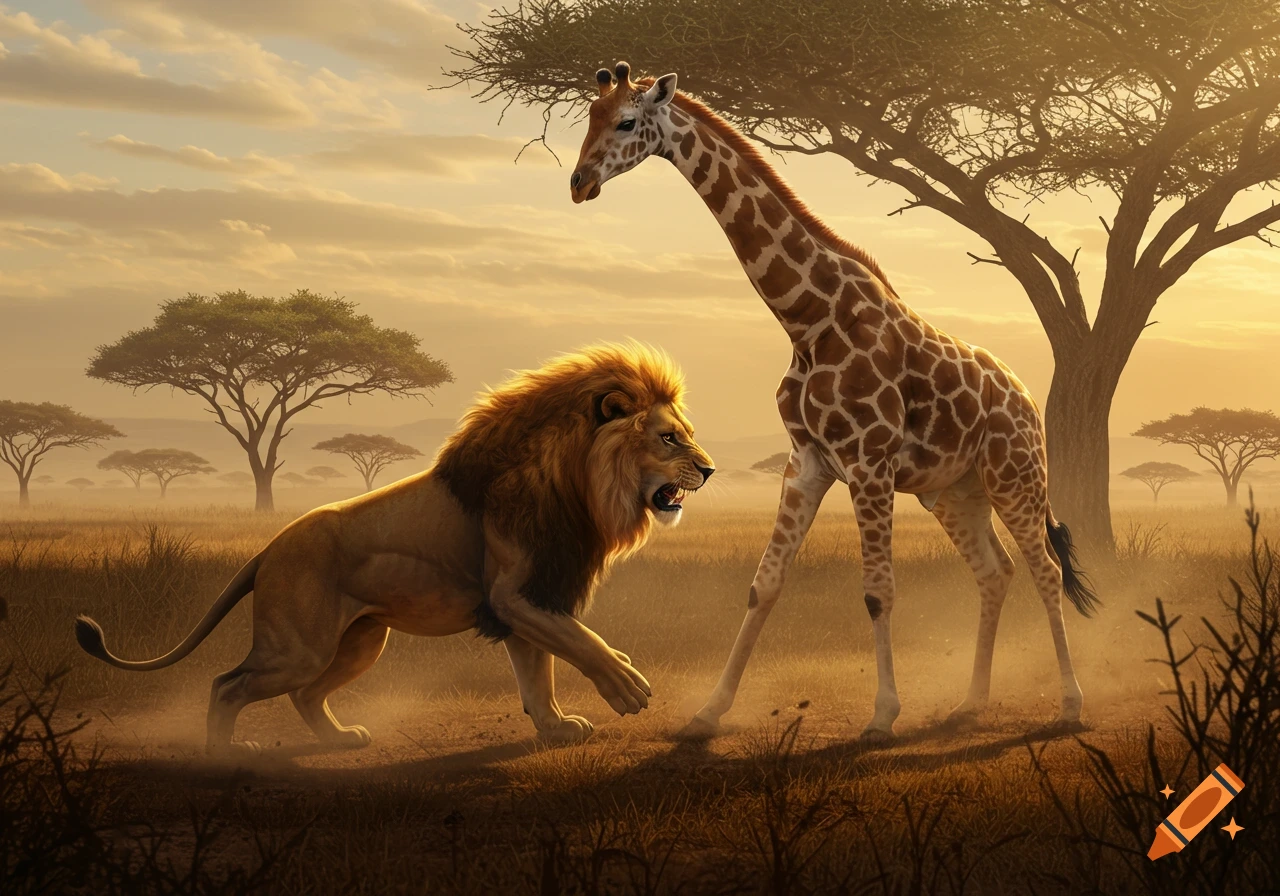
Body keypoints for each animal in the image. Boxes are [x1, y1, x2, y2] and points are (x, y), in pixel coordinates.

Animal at [74, 342, 715, 755]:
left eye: (686, 434)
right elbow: (579, 642)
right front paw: (626, 685)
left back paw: (339, 740)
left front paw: (555, 728)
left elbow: (540, 673)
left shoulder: (535, 594)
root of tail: (269, 548)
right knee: (226, 685)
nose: (709, 469)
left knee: (305, 694)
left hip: (360, 641)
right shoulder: (514, 594)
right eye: (668, 438)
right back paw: (222, 755)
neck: (578, 485)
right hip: (298, 646)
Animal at [568, 62, 1099, 739]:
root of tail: (1027, 398)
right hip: (954, 492)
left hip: (1016, 477)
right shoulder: (807, 462)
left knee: (1045, 569)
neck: (808, 319)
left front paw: (883, 714)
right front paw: (707, 713)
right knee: (994, 571)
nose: (579, 183)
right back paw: (971, 702)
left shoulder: (868, 463)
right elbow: (764, 585)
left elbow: (878, 590)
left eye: (627, 122)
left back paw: (1071, 704)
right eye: (589, 117)